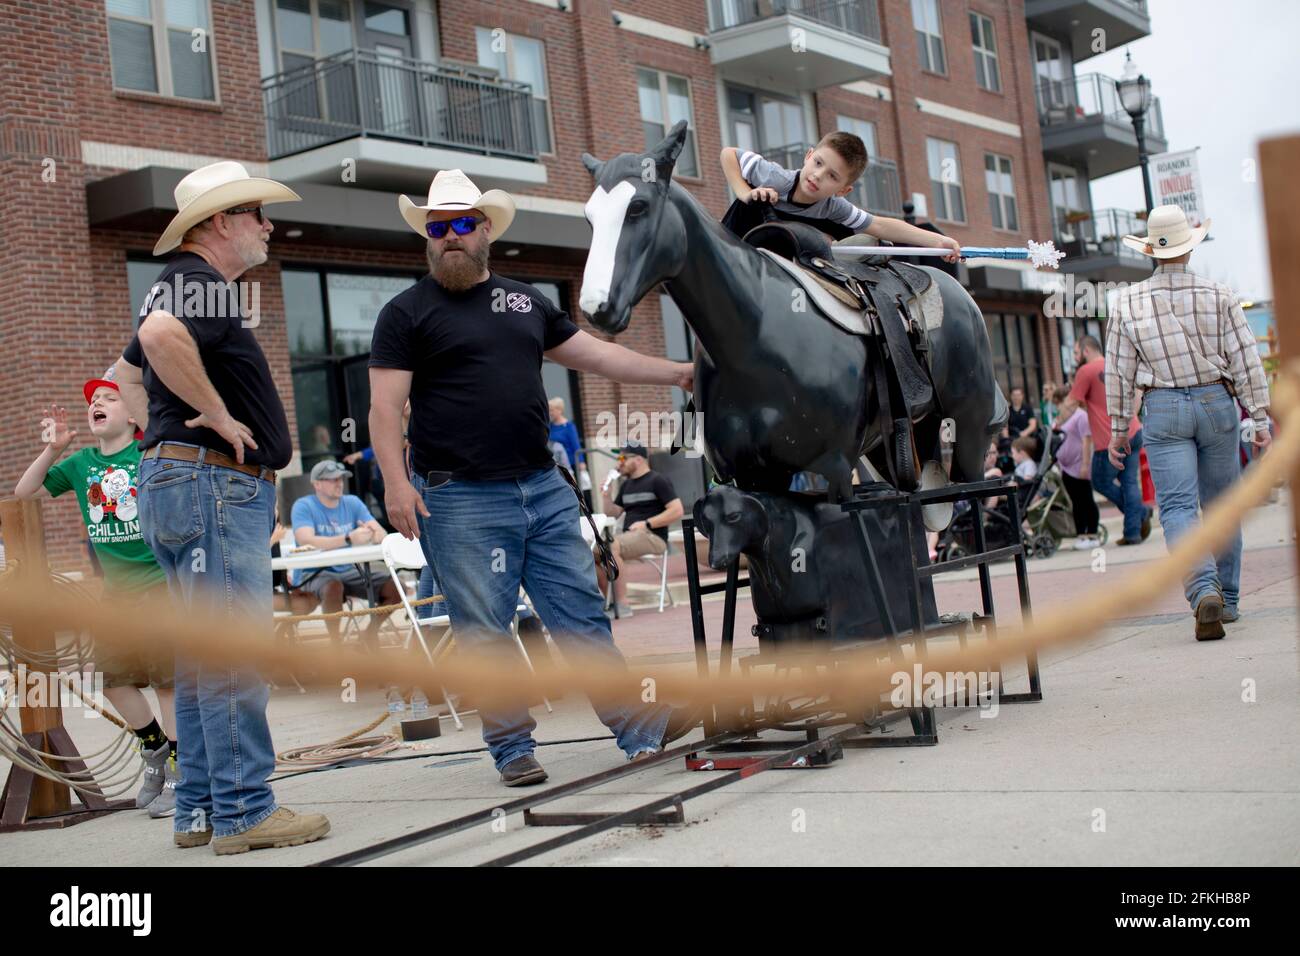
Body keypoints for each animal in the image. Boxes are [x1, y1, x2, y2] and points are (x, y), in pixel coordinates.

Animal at [579, 119, 1003, 502]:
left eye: (638, 206)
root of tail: (961, 295)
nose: (595, 305)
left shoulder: (835, 469)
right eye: (589, 217)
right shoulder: (752, 475)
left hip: (970, 432)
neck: (754, 332)